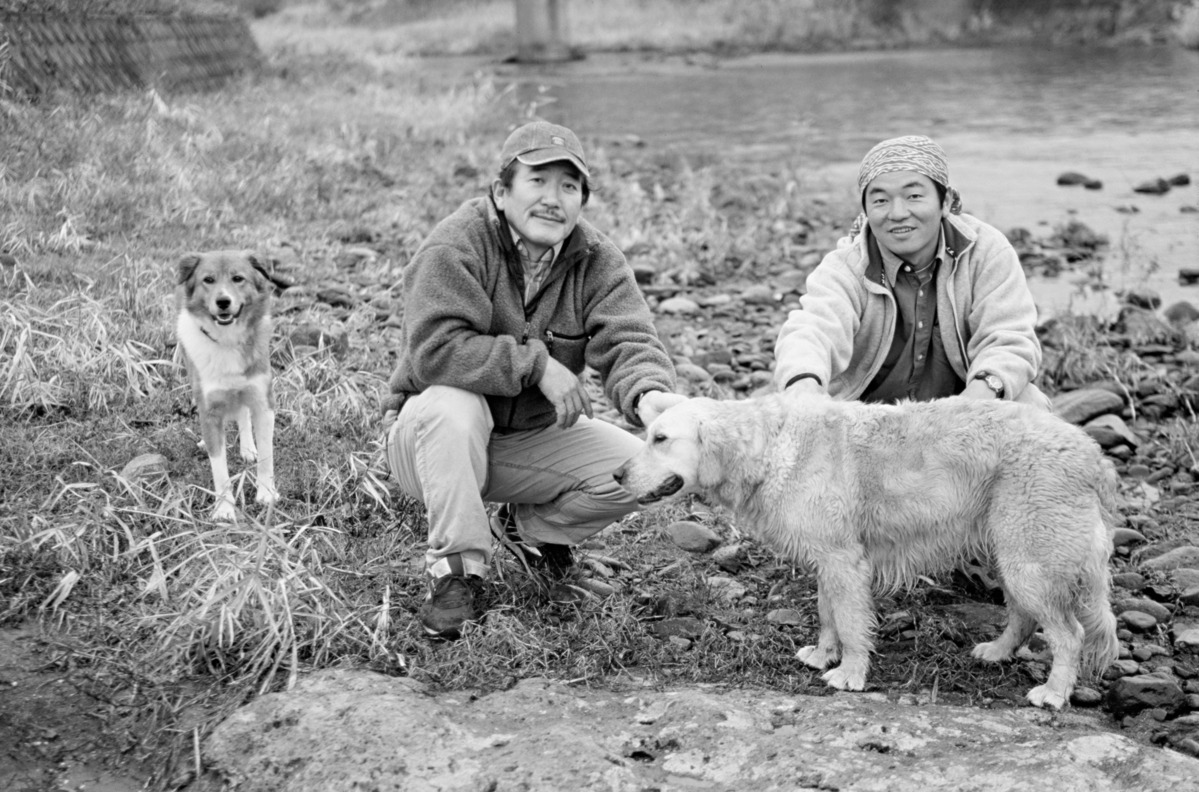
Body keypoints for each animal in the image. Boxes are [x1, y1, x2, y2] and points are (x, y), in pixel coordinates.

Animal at [175, 246, 278, 520]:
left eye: (238, 278)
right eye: (208, 280)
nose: (223, 302)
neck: (228, 340)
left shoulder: (263, 403)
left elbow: (267, 456)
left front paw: (266, 494)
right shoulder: (210, 411)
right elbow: (219, 468)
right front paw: (224, 509)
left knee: (243, 414)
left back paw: (248, 449)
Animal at [613, 393, 1117, 709]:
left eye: (660, 439)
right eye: (648, 433)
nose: (617, 474)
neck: (770, 450)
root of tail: (1094, 455)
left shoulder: (844, 559)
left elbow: (853, 622)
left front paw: (850, 674)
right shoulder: (827, 556)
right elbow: (827, 613)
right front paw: (823, 654)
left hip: (1030, 554)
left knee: (1069, 633)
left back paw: (1054, 692)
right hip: (1013, 550)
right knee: (1024, 614)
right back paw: (998, 650)